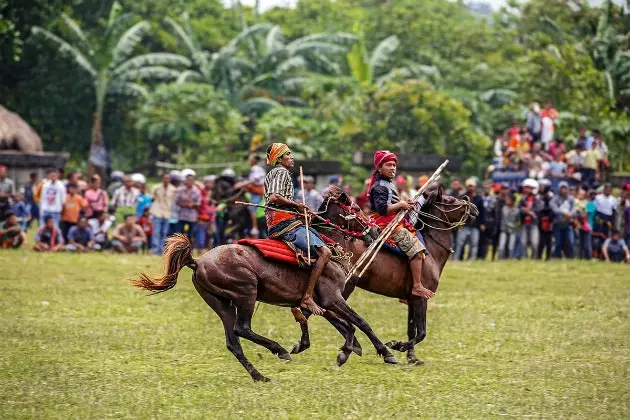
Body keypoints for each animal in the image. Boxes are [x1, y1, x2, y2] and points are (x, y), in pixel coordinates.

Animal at [132, 195, 400, 382]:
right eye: (357, 209)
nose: (376, 231)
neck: (328, 248)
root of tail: (197, 261)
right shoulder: (332, 298)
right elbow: (360, 322)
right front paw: (381, 352)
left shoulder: (325, 303)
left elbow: (345, 325)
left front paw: (347, 350)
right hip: (246, 293)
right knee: (242, 328)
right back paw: (278, 350)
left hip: (221, 303)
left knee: (233, 342)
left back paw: (259, 375)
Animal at [294, 185, 482, 366]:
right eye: (450, 200)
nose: (473, 207)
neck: (431, 251)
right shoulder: (421, 298)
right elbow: (422, 332)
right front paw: (399, 346)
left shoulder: (411, 299)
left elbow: (412, 329)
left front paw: (412, 357)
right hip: (345, 287)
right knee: (318, 311)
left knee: (315, 312)